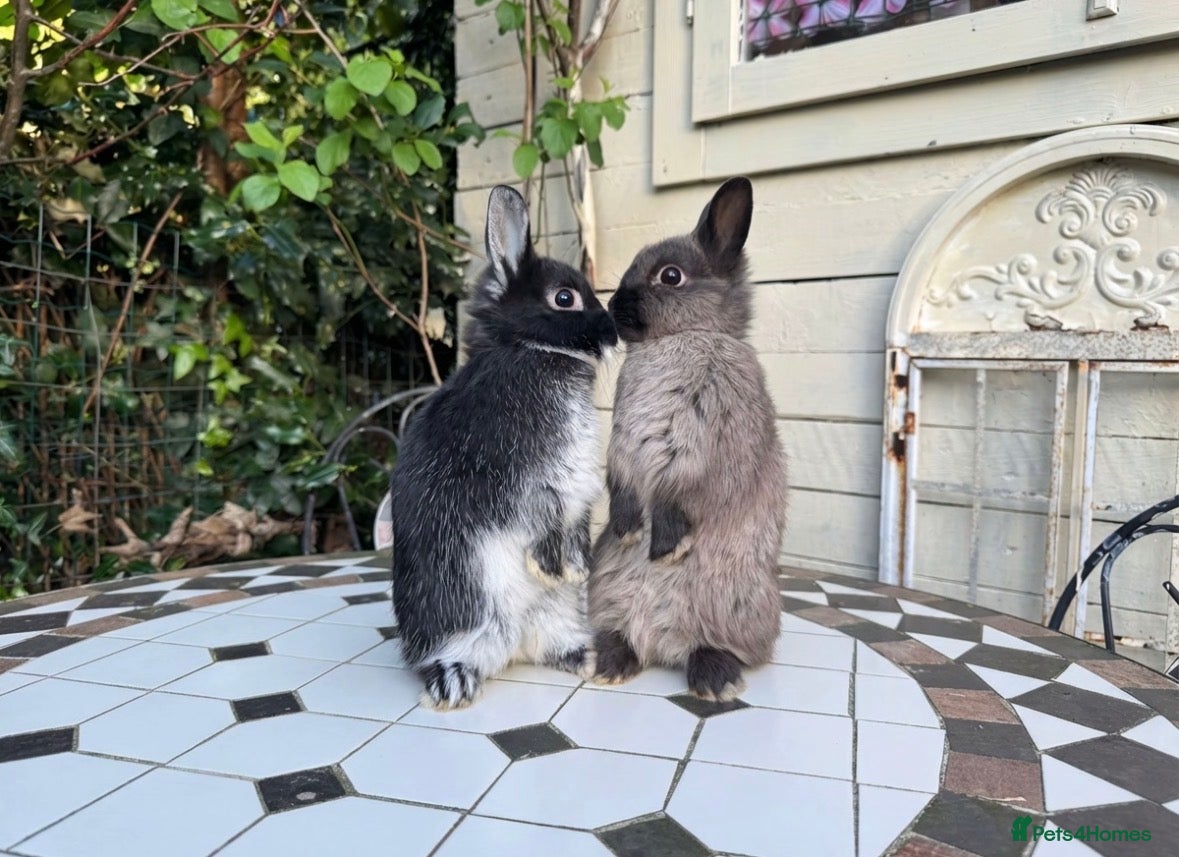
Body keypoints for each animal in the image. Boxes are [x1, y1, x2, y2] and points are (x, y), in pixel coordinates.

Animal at [388, 184, 617, 710]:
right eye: (564, 298)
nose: (614, 333)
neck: (529, 349)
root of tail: (512, 646)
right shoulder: (528, 483)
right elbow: (544, 519)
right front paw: (554, 570)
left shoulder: (579, 492)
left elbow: (575, 525)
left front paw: (577, 571)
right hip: (461, 610)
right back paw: (452, 685)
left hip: (552, 619)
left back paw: (590, 658)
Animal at [588, 176, 786, 702]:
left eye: (670, 276)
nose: (612, 308)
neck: (682, 337)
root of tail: (663, 645)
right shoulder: (621, 444)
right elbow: (622, 483)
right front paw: (629, 529)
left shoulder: (705, 448)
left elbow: (681, 491)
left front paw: (664, 548)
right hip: (604, 588)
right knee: (621, 632)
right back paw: (608, 664)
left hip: (738, 604)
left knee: (718, 646)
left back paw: (714, 679)